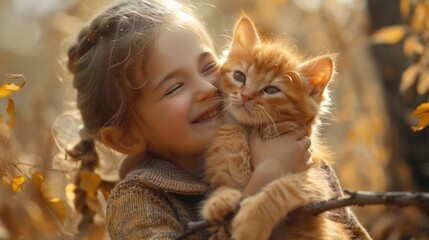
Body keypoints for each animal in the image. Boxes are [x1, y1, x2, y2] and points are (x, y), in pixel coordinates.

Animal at [202, 15, 352, 239]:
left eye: (271, 90)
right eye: (239, 77)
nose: (245, 96)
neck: (249, 131)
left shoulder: (315, 181)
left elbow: (279, 188)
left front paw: (251, 223)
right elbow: (224, 186)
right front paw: (218, 201)